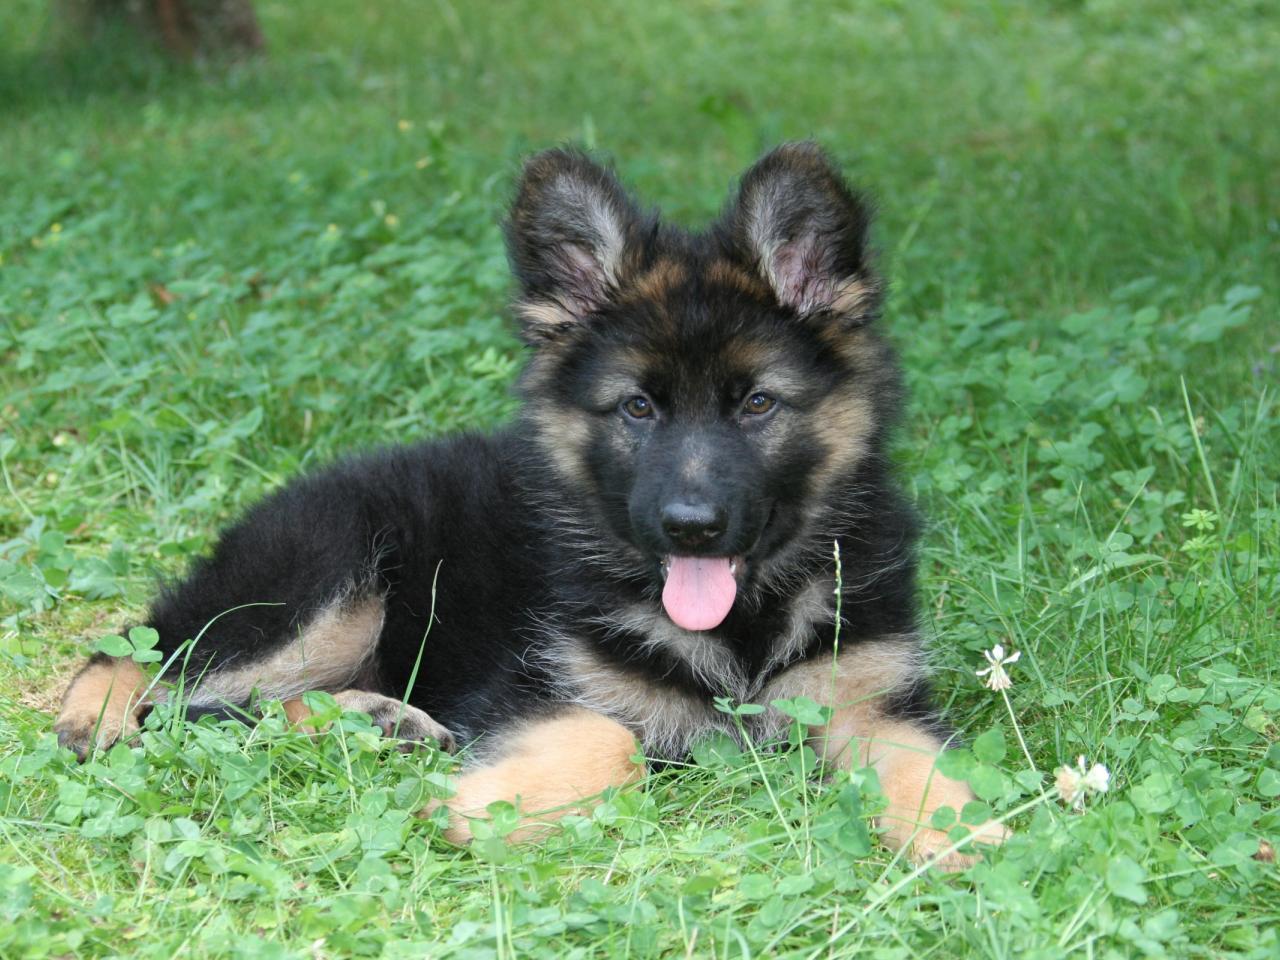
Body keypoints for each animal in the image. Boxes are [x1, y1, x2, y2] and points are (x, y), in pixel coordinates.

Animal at [55, 144, 1003, 870]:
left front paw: (968, 833)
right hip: (328, 583)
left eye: (758, 405)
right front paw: (473, 807)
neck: (744, 624)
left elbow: (919, 764)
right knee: (153, 667)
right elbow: (616, 742)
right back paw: (97, 715)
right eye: (638, 408)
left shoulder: (871, 700)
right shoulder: (531, 688)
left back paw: (375, 721)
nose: (690, 527)